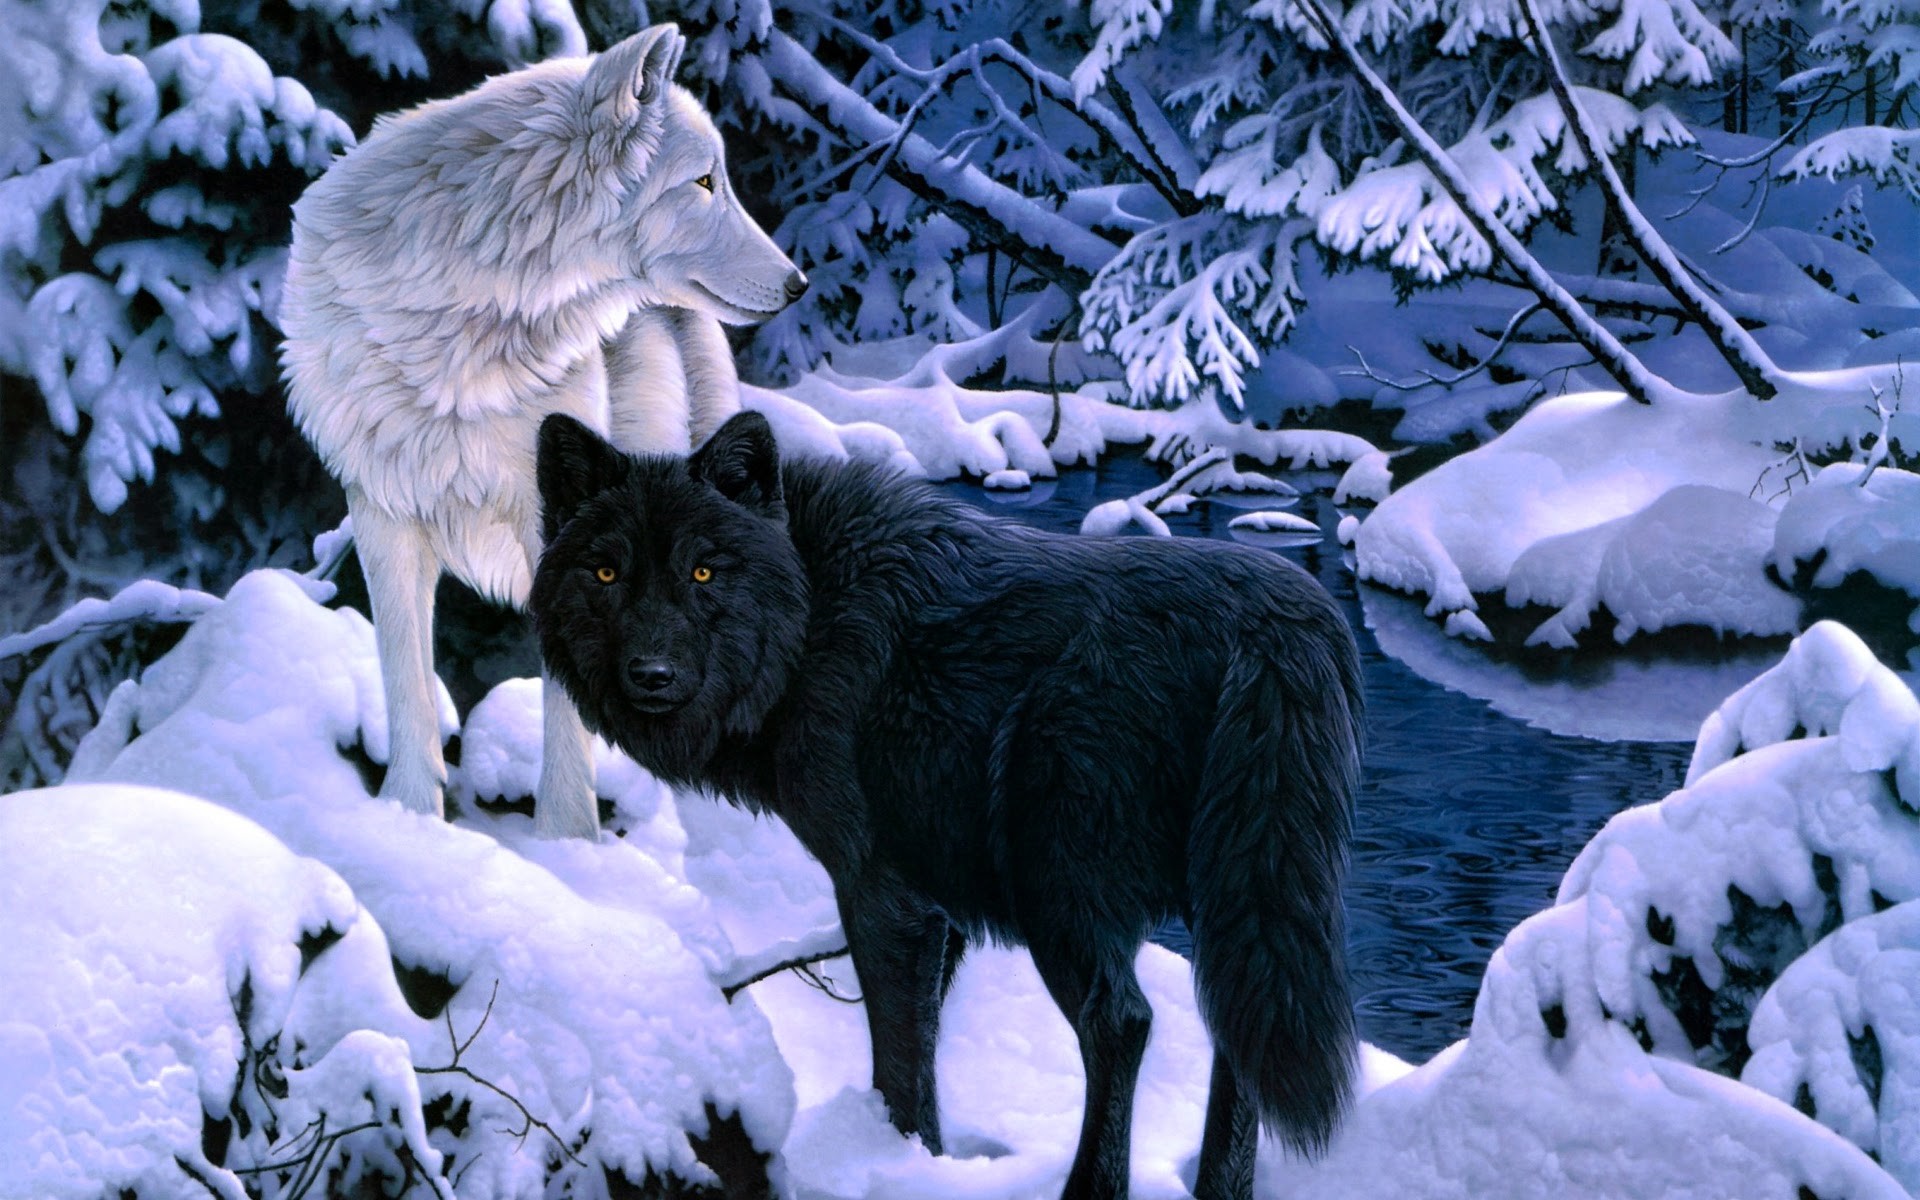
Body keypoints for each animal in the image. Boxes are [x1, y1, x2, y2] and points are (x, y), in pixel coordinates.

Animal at [279, 25, 803, 838]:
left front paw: (567, 843)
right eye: (704, 182)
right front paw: (406, 822)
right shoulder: (382, 514)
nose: (797, 283)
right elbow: (406, 679)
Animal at [531, 412, 1365, 1200]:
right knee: (1235, 1031)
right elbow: (924, 1042)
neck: (811, 616)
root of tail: (1274, 624)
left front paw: (896, 1166)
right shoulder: (940, 906)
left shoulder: (879, 889)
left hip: (1058, 890)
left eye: (703, 572)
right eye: (606, 572)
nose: (652, 675)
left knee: (1123, 1022)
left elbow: (901, 1061)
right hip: (1237, 902)